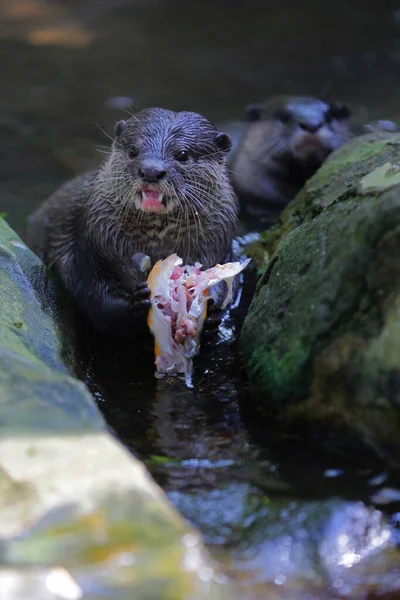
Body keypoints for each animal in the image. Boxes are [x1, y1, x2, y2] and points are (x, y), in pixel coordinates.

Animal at [28, 108, 241, 338]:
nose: (151, 171)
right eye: (133, 151)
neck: (158, 244)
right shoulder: (88, 244)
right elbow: (94, 296)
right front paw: (135, 306)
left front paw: (211, 316)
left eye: (182, 155)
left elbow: (227, 283)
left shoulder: (220, 243)